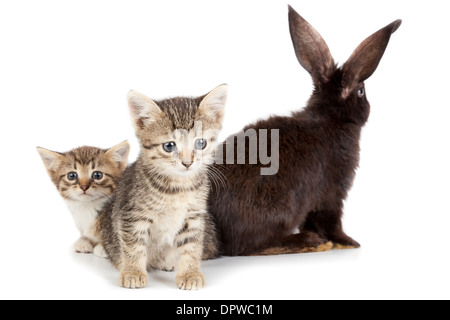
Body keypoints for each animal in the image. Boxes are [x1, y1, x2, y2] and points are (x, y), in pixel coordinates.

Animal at [98, 85, 225, 290]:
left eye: (201, 143)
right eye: (169, 146)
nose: (187, 163)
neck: (178, 189)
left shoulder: (194, 216)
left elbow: (191, 246)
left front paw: (190, 273)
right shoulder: (132, 214)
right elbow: (133, 245)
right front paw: (133, 272)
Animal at [209, 6, 402, 256]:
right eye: (361, 92)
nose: (369, 107)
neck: (330, 118)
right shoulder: (332, 192)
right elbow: (331, 220)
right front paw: (347, 242)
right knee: (252, 246)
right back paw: (309, 242)